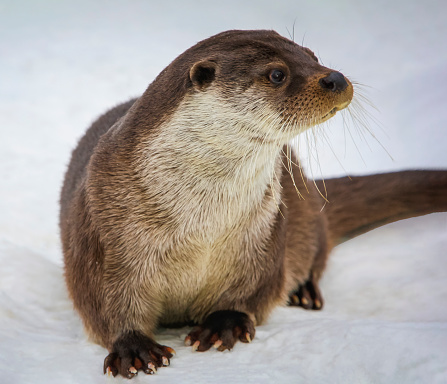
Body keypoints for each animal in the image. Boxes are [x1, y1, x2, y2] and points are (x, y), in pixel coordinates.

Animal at [59, 30, 447, 378]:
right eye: (277, 74)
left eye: (313, 56)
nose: (335, 77)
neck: (202, 225)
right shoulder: (105, 235)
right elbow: (105, 302)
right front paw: (134, 348)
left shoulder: (263, 233)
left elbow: (254, 288)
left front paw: (223, 324)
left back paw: (303, 292)